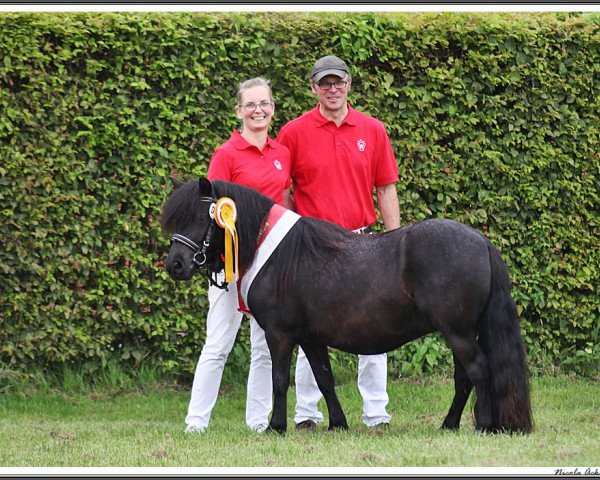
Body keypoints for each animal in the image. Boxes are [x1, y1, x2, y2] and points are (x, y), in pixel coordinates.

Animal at [161, 177, 536, 436]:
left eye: (201, 217)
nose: (175, 265)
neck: (279, 255)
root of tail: (481, 241)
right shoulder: (311, 338)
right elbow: (324, 379)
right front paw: (338, 423)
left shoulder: (280, 335)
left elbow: (280, 380)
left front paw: (275, 427)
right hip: (461, 332)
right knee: (464, 378)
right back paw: (450, 424)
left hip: (457, 332)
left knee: (478, 371)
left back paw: (483, 425)